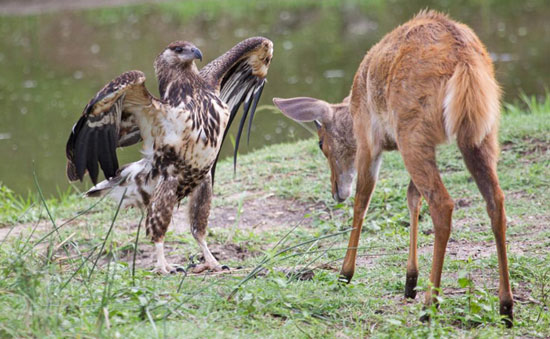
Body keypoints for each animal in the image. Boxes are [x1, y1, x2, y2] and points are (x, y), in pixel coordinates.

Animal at [276, 9, 516, 326]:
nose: (336, 191)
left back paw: (430, 306)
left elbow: (363, 201)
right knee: (495, 200)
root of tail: (465, 62)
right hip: (480, 134)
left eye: (320, 143)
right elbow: (412, 196)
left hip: (413, 132)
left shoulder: (369, 140)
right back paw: (505, 308)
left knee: (443, 203)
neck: (353, 105)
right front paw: (409, 281)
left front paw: (345, 274)